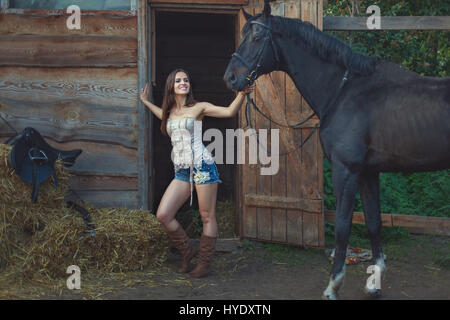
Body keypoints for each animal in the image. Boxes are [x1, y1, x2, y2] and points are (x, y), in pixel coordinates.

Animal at [225, 1, 450, 300]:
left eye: (257, 37)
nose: (230, 77)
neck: (344, 90)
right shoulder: (368, 172)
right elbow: (373, 222)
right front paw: (374, 282)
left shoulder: (347, 170)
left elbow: (343, 227)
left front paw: (333, 286)